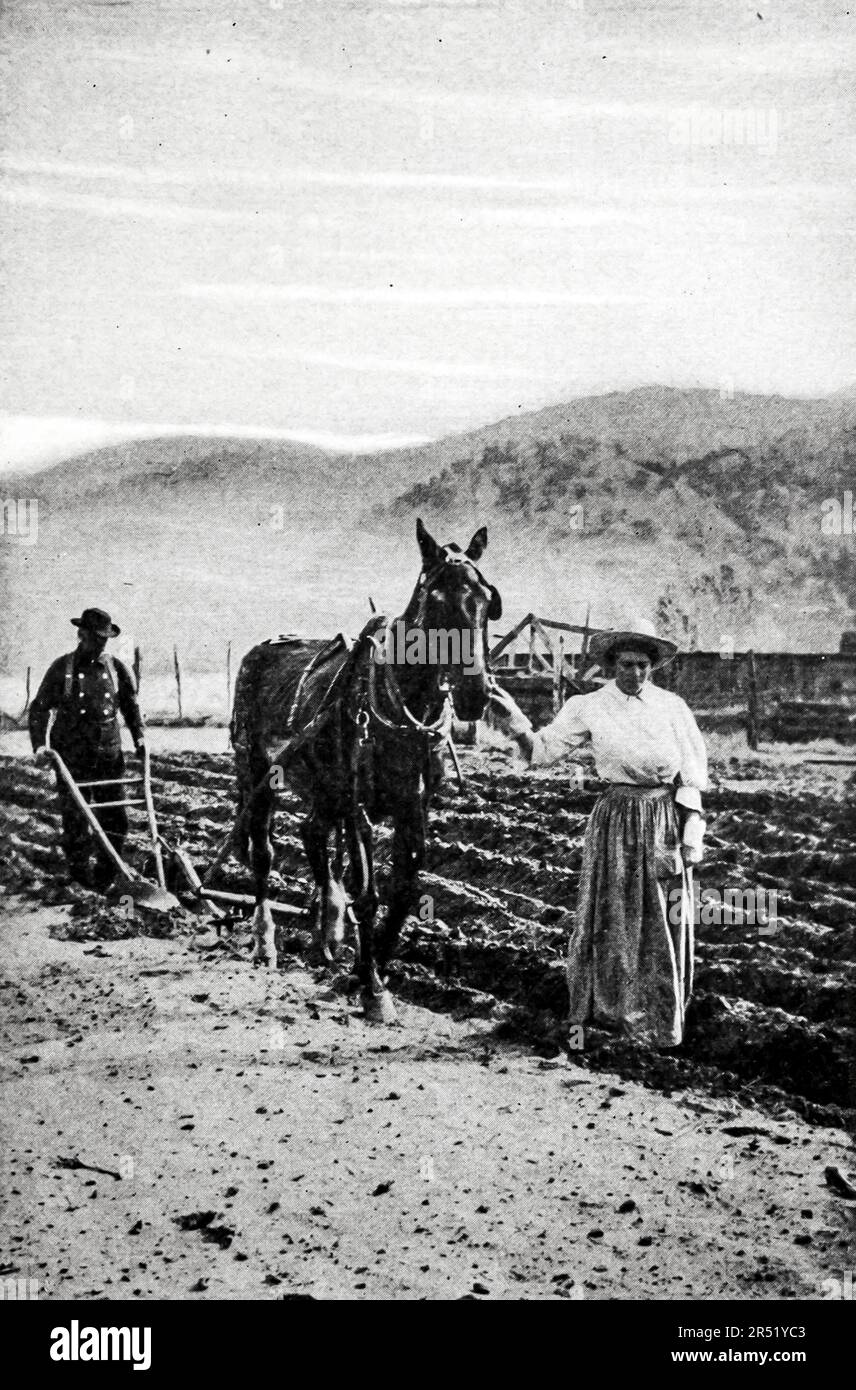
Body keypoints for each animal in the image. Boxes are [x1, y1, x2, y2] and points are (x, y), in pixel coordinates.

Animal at [230, 519, 505, 1023]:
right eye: (436, 600)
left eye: (487, 600)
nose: (475, 693)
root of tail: (260, 648)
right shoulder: (359, 807)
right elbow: (368, 893)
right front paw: (374, 988)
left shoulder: (412, 805)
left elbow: (404, 889)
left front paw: (364, 970)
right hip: (258, 773)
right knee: (264, 852)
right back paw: (265, 942)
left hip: (324, 787)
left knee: (313, 834)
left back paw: (328, 935)